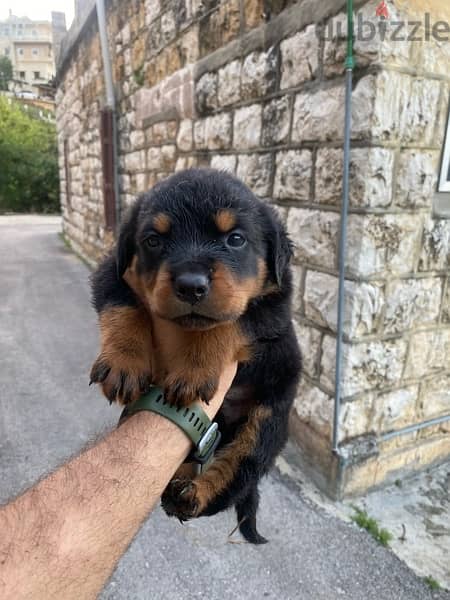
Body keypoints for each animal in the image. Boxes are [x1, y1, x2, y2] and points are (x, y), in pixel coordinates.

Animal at [89, 169, 300, 544]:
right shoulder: (111, 272)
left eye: (235, 239)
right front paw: (123, 363)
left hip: (269, 417)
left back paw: (194, 495)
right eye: (153, 241)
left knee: (240, 471)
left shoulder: (272, 308)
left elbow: (222, 325)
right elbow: (123, 306)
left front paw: (194, 372)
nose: (191, 285)